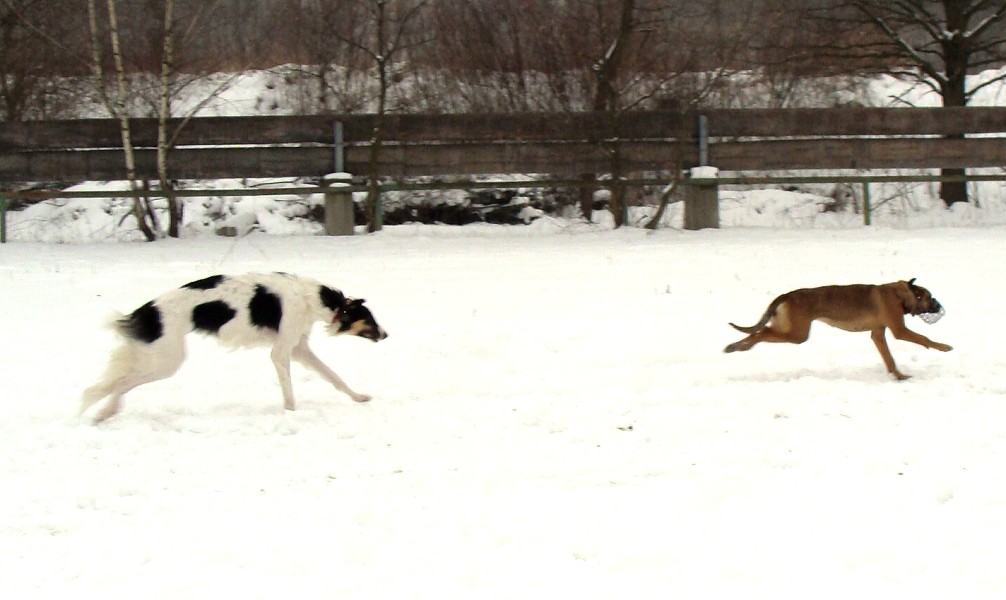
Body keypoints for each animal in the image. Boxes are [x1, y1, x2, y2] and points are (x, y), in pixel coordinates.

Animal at [76, 271, 384, 422]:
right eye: (369, 318)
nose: (386, 334)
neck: (315, 299)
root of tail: (148, 310)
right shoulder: (281, 351)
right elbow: (289, 391)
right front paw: (291, 414)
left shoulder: (299, 349)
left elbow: (334, 377)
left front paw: (359, 397)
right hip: (168, 361)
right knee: (121, 383)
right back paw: (103, 413)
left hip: (158, 356)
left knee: (117, 383)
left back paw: (105, 413)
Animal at [724, 277, 949, 380]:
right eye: (929, 297)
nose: (940, 306)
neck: (900, 294)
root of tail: (787, 295)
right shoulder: (899, 330)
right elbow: (924, 339)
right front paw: (944, 347)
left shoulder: (877, 334)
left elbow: (889, 359)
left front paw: (899, 376)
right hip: (797, 334)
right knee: (762, 332)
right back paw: (740, 346)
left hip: (787, 327)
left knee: (759, 332)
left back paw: (737, 346)